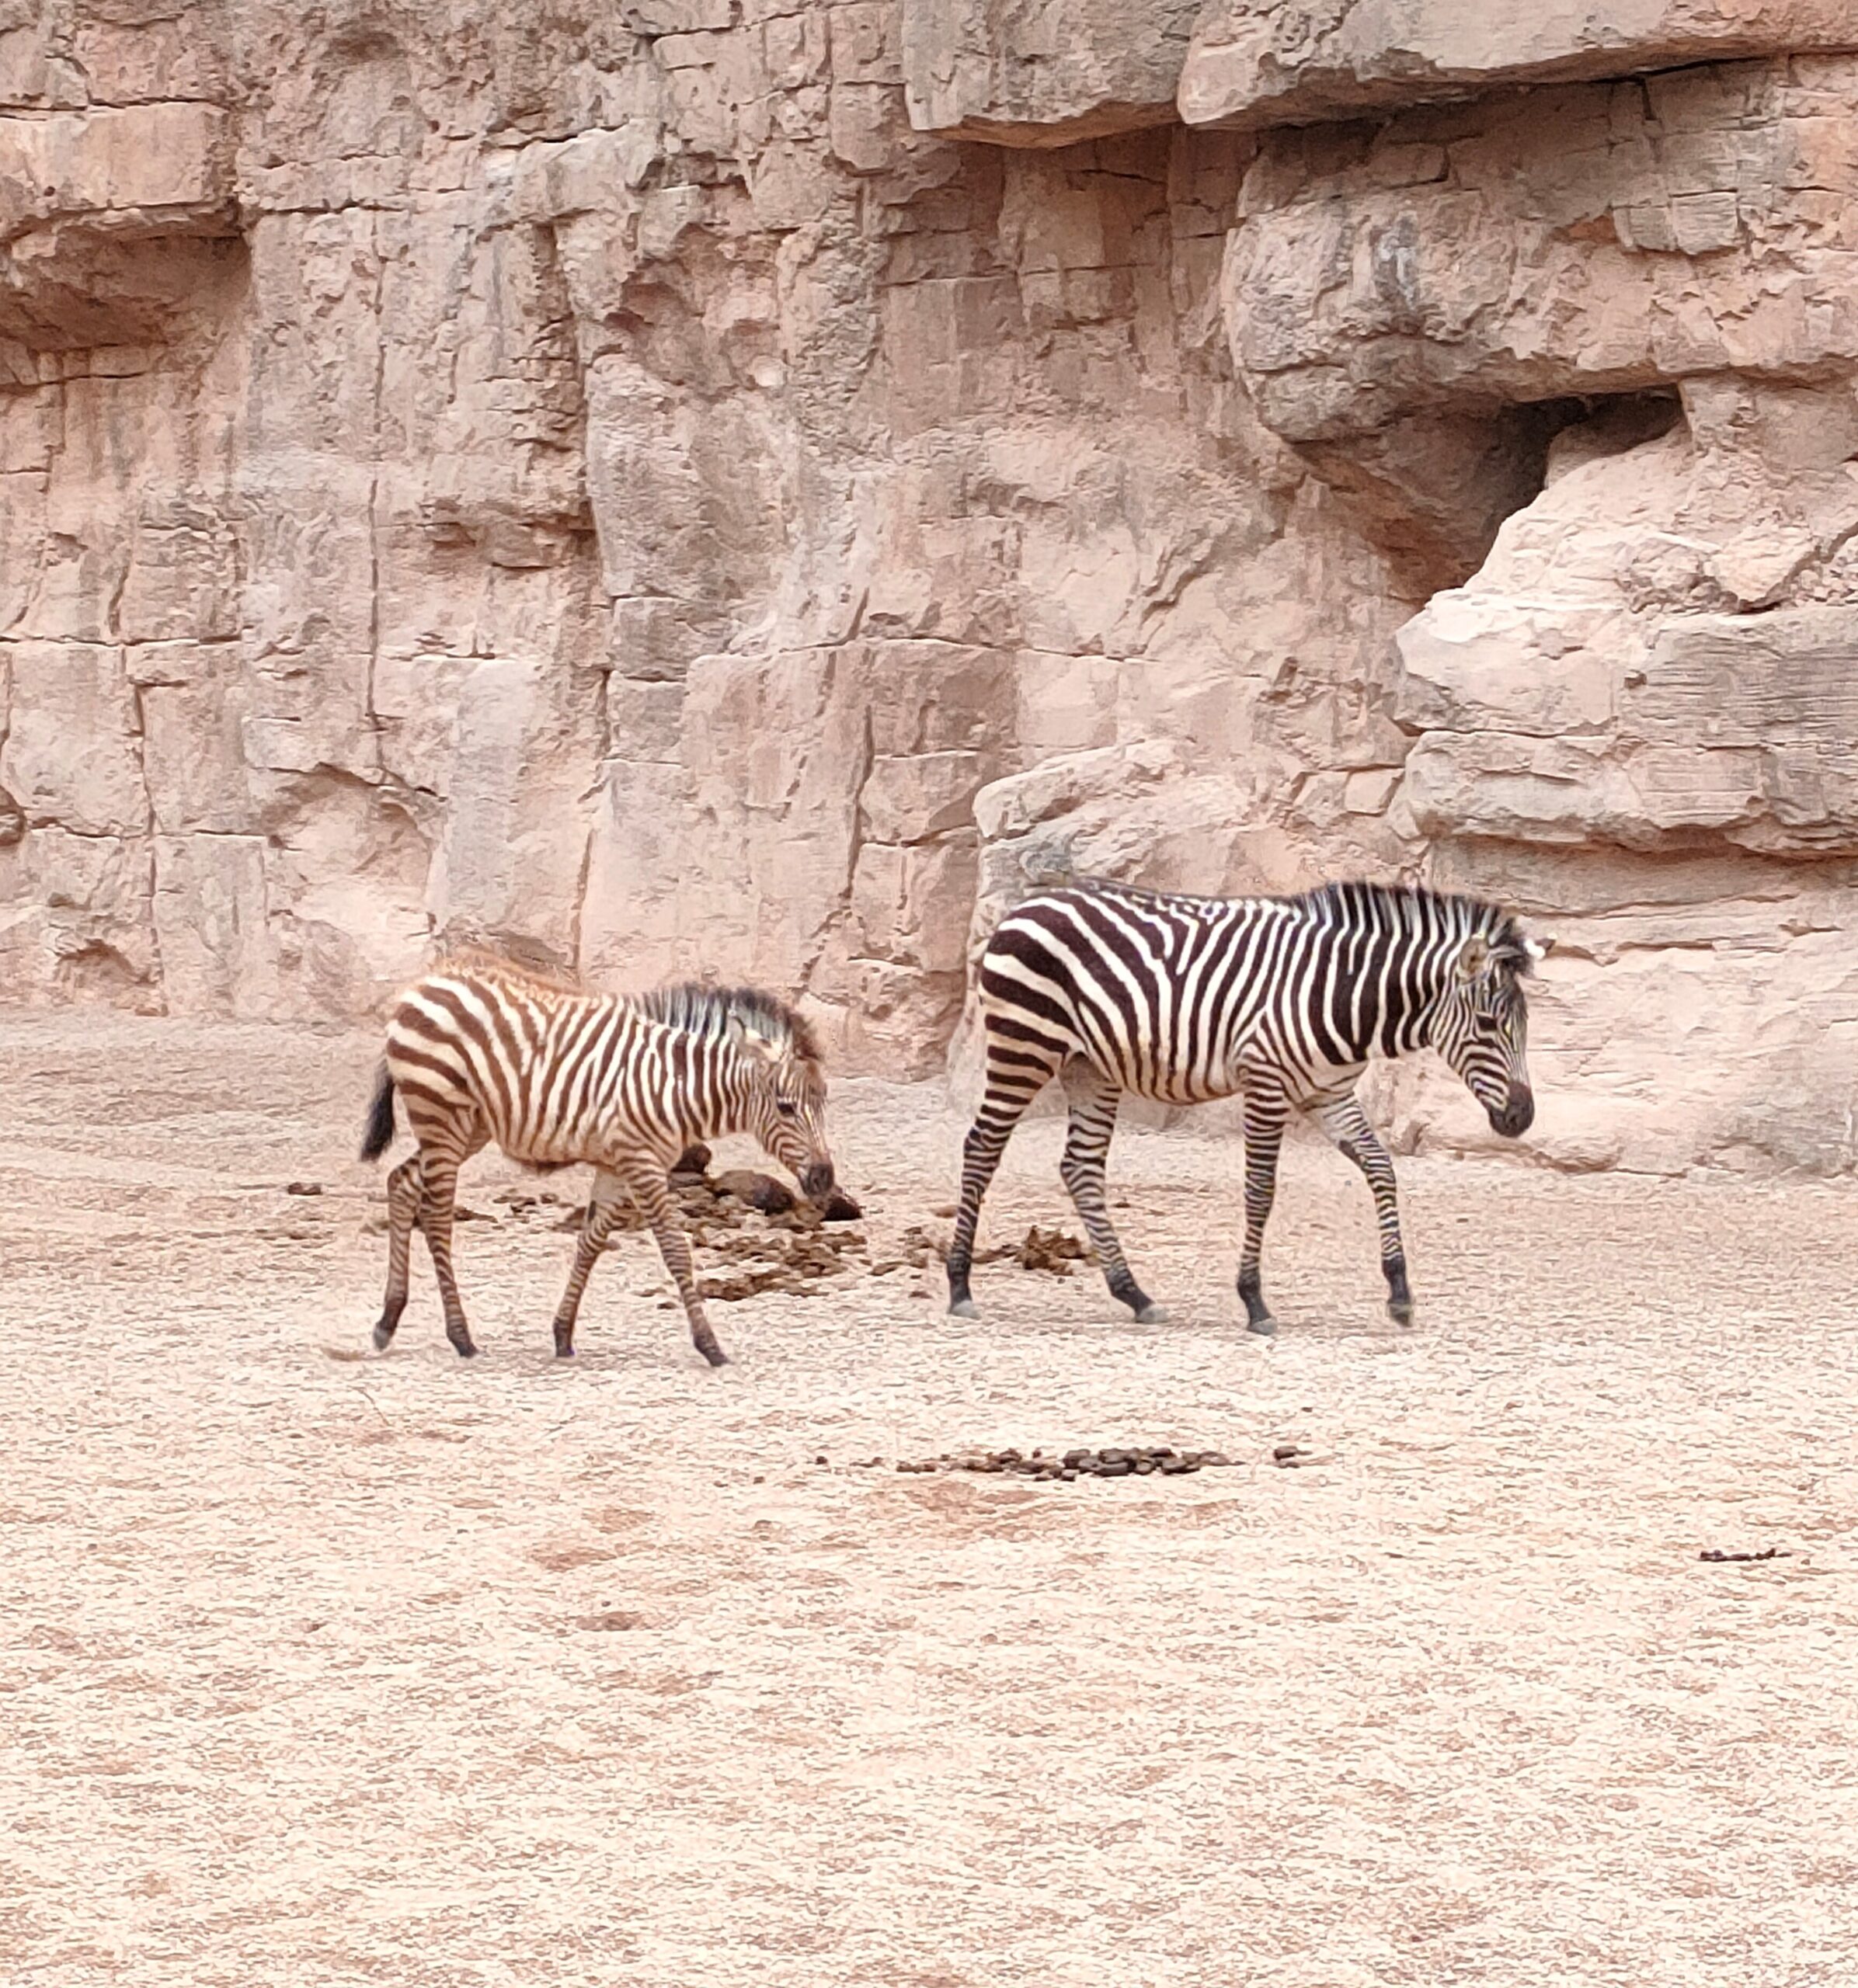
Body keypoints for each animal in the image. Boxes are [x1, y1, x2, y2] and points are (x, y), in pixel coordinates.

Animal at [359, 955, 837, 1367]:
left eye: (823, 1103)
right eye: (786, 1108)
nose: (824, 1179)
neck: (676, 1085)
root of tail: (425, 983)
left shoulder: (617, 1165)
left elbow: (590, 1242)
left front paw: (562, 1333)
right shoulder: (642, 1162)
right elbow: (675, 1250)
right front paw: (710, 1345)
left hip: (467, 1128)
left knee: (401, 1182)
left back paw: (387, 1320)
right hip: (443, 1117)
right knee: (438, 1218)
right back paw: (460, 1336)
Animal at [946, 879, 1548, 1335]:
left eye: (1524, 1026)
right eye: (1489, 1025)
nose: (1521, 1118)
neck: (1344, 995)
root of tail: (1027, 904)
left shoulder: (1328, 1094)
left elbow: (1382, 1169)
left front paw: (1399, 1292)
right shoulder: (1266, 1084)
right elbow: (1261, 1191)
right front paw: (1255, 1302)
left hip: (1088, 1067)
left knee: (1081, 1168)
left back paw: (1135, 1294)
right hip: (1026, 1045)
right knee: (982, 1147)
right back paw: (959, 1285)